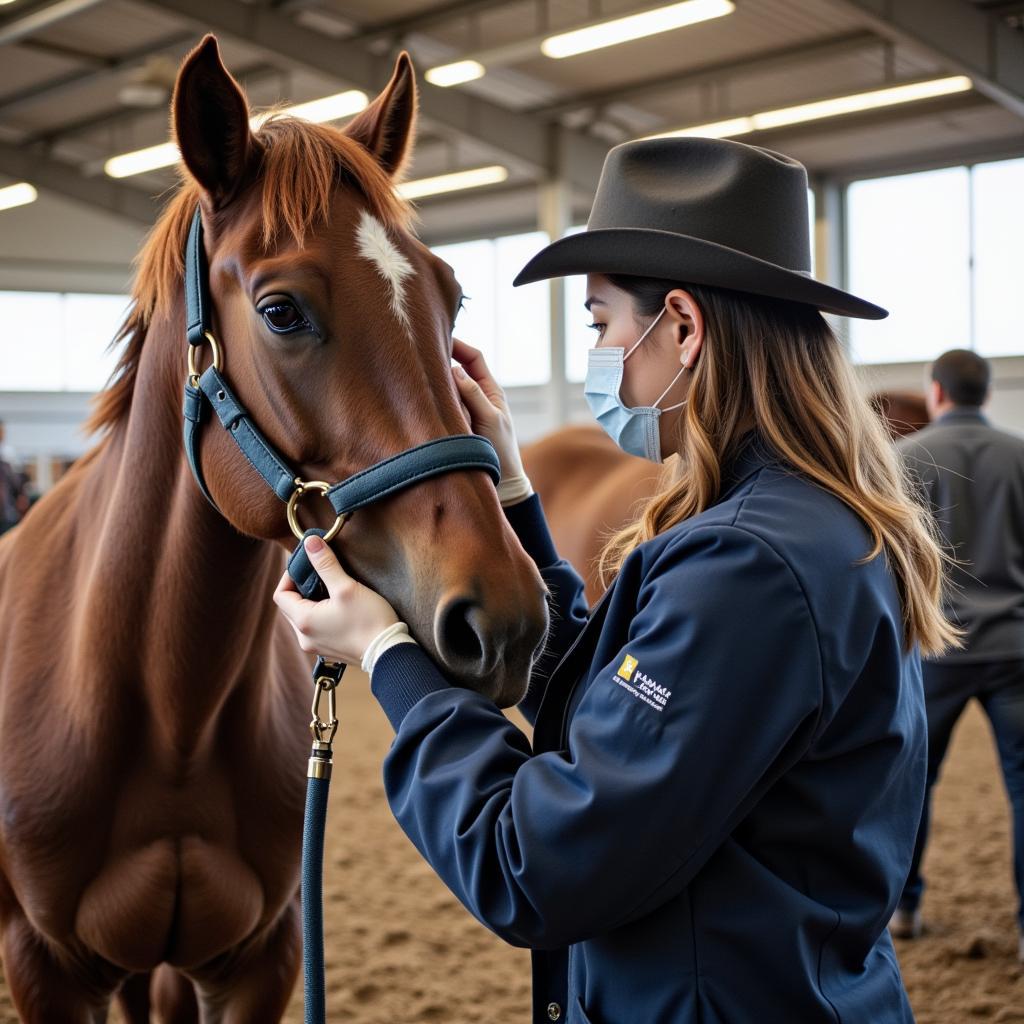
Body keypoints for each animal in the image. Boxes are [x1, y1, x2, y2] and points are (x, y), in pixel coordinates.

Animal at [0, 36, 548, 1019]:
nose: (508, 621)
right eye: (281, 311)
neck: (168, 715)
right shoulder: (43, 967)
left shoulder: (262, 960)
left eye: (451, 299)